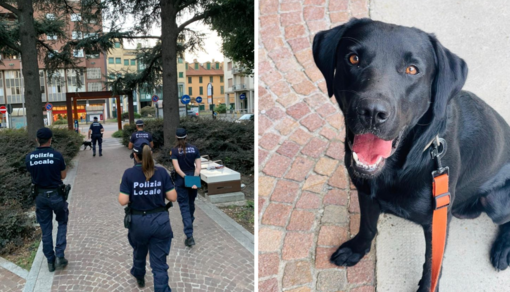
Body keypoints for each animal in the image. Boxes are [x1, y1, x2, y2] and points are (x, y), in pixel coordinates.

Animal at [312, 17, 510, 290]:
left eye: (412, 70)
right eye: (353, 58)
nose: (372, 112)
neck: (398, 167)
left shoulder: (436, 222)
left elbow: (431, 264)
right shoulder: (365, 192)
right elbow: (367, 226)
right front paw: (357, 249)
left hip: (496, 202)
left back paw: (502, 249)